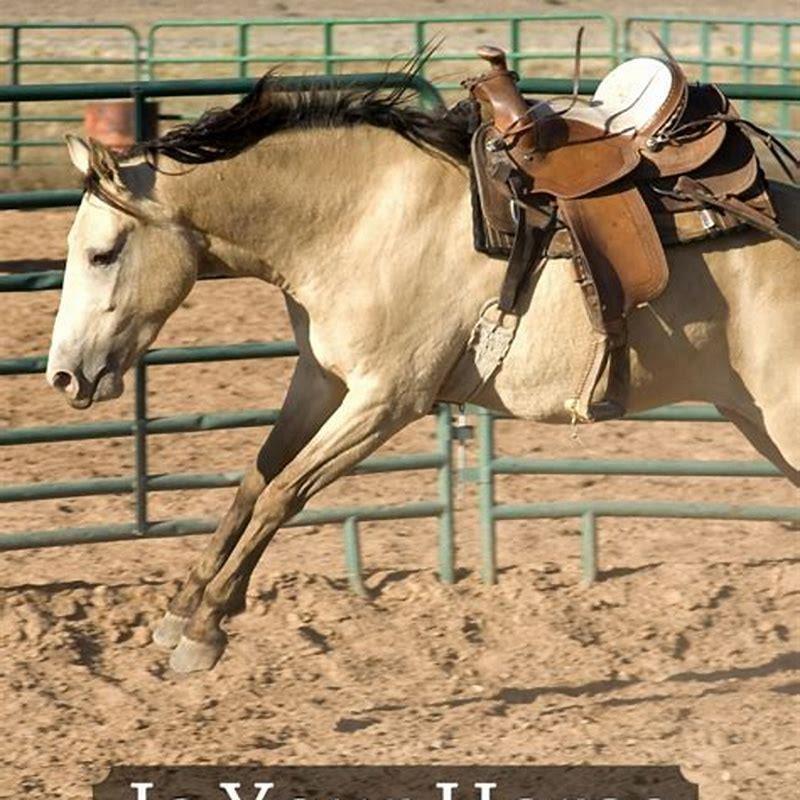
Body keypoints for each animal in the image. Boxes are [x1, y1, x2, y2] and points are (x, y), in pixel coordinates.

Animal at [45, 72, 800, 673]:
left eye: (103, 253)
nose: (63, 376)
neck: (361, 217)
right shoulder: (321, 379)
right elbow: (254, 483)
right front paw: (180, 610)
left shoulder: (387, 398)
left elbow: (284, 494)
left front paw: (205, 628)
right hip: (757, 422)